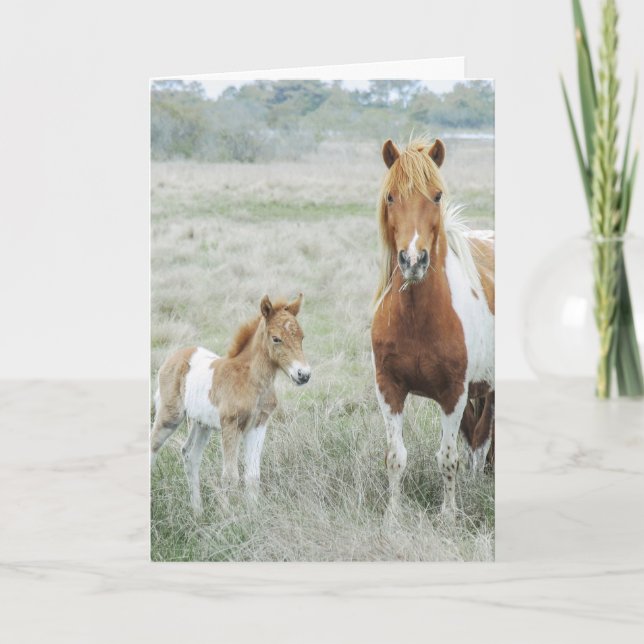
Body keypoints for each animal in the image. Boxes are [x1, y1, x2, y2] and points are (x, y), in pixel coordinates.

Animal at [150, 293, 310, 514]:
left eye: (302, 337)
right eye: (276, 339)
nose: (303, 375)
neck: (251, 380)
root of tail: (174, 357)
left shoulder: (259, 425)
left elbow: (252, 476)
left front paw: (252, 514)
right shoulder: (230, 425)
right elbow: (230, 476)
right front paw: (229, 515)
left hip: (202, 425)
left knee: (190, 455)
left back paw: (198, 512)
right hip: (170, 416)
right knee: (153, 447)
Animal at [370, 137, 495, 516]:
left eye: (437, 196)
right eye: (391, 196)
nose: (413, 260)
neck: (417, 319)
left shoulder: (453, 394)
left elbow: (448, 459)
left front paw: (449, 516)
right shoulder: (388, 388)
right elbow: (396, 457)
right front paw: (393, 516)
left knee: (481, 443)